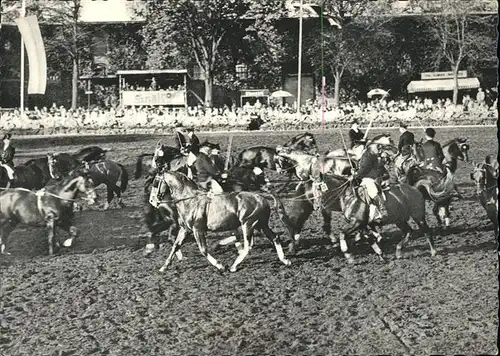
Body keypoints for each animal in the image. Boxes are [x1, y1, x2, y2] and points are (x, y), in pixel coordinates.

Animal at [156, 171, 292, 272]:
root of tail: (261, 197)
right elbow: (175, 246)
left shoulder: (197, 229)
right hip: (261, 225)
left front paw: (220, 265)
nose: (156, 199)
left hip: (248, 224)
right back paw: (285, 260)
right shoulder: (186, 229)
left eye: (156, 181)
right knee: (274, 238)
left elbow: (203, 250)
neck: (190, 200)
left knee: (248, 246)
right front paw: (164, 267)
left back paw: (233, 266)